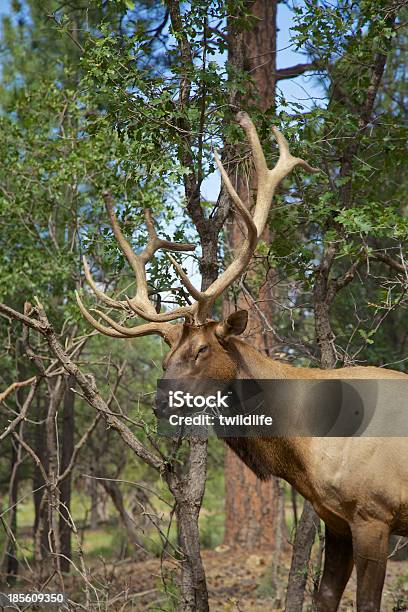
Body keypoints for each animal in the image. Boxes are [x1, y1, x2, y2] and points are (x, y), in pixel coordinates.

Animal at [76, 112, 408, 608]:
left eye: (200, 349)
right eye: (165, 358)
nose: (158, 403)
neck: (306, 449)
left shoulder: (374, 514)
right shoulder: (334, 518)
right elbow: (324, 596)